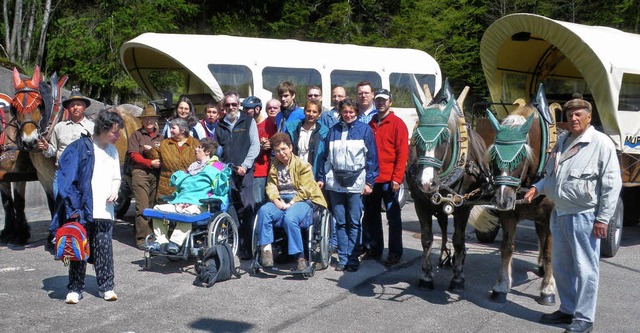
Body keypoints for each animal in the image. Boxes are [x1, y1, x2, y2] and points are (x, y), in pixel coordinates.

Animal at [408, 83, 492, 290]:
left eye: (444, 138)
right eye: (416, 137)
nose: (426, 183)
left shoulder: (464, 207)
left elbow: (459, 240)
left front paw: (458, 277)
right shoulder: (421, 203)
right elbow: (427, 238)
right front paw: (426, 275)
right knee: (444, 226)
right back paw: (444, 256)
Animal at [470, 90, 560, 304]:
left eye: (521, 156)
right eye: (493, 156)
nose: (502, 200)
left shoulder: (549, 216)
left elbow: (549, 251)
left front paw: (548, 289)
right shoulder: (508, 215)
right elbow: (507, 247)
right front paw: (502, 285)